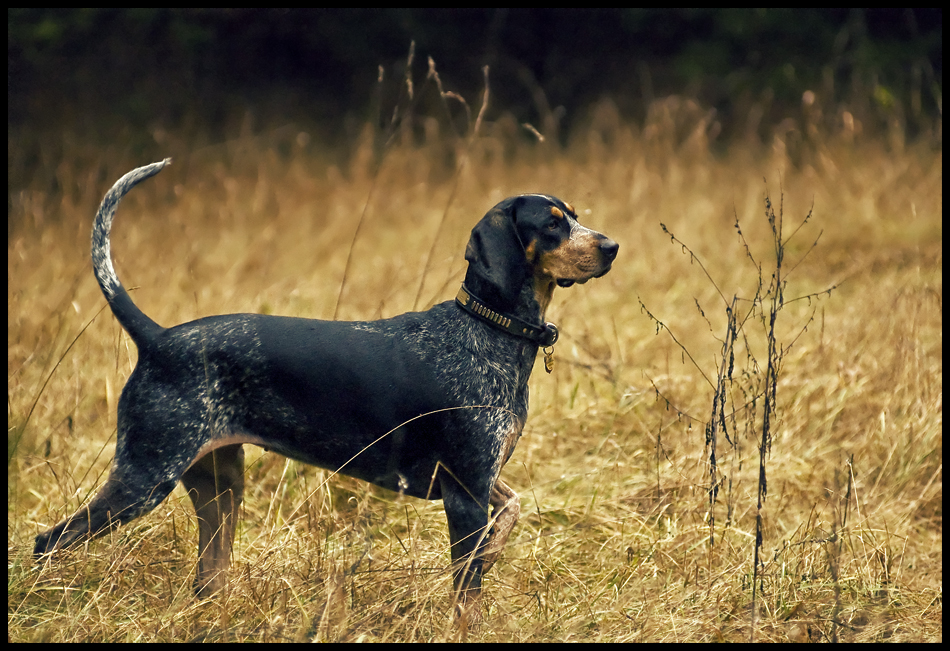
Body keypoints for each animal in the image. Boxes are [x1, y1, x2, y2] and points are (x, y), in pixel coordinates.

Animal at [33, 159, 620, 628]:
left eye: (575, 215)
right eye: (552, 224)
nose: (612, 246)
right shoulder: (464, 492)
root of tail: (156, 338)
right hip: (145, 479)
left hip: (219, 488)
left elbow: (511, 512)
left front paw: (496, 551)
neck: (487, 328)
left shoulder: (482, 479)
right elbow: (467, 591)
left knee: (207, 580)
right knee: (47, 542)